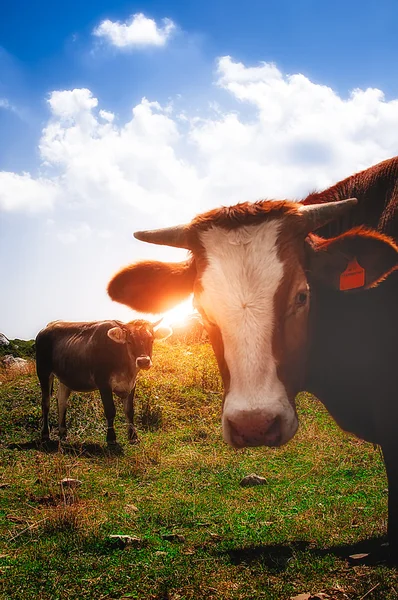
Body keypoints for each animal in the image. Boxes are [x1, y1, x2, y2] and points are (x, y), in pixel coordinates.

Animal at [37, 318, 173, 446]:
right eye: (129, 341)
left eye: (151, 340)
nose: (143, 361)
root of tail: (48, 327)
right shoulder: (103, 383)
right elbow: (110, 410)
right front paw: (111, 438)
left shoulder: (131, 384)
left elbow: (130, 410)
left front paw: (133, 437)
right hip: (43, 371)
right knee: (46, 403)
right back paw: (45, 435)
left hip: (65, 377)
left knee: (61, 401)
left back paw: (63, 433)